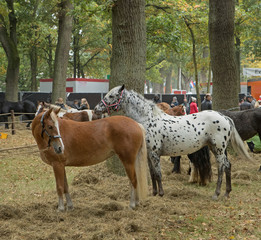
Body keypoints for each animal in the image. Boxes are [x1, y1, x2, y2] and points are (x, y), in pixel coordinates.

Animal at [93, 85, 250, 200]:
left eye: (111, 96)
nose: (96, 109)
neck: (149, 119)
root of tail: (224, 117)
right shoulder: (149, 154)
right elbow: (152, 173)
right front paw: (154, 193)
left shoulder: (155, 153)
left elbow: (158, 173)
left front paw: (161, 193)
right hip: (217, 149)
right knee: (228, 166)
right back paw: (227, 193)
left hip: (218, 149)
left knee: (222, 168)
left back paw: (216, 194)